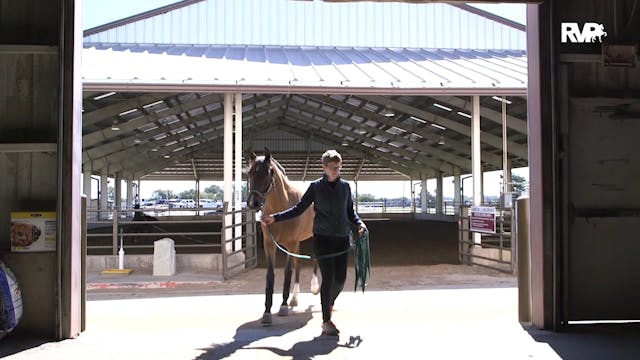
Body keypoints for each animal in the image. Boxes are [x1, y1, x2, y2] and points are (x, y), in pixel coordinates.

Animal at [246, 148, 318, 324]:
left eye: (267, 172)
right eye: (249, 173)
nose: (253, 203)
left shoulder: (290, 244)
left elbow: (287, 272)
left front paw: (283, 306)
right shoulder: (270, 244)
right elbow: (271, 275)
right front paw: (267, 312)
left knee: (315, 259)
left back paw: (314, 288)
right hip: (297, 243)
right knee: (299, 265)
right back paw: (294, 299)